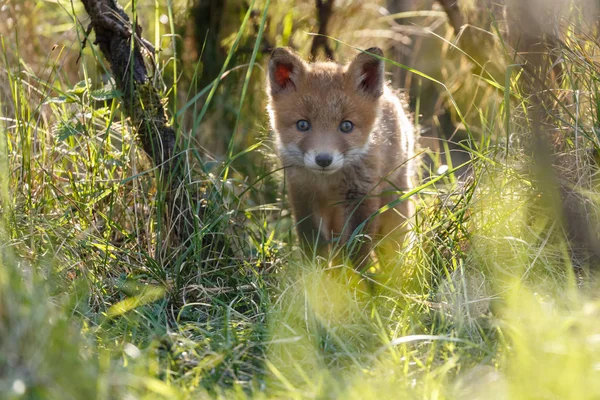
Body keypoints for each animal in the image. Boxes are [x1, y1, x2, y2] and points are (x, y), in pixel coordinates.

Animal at [268, 47, 418, 268]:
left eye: (346, 126)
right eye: (302, 125)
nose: (323, 159)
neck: (327, 184)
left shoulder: (361, 198)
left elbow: (358, 249)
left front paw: (357, 277)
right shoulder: (303, 197)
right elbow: (313, 246)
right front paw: (315, 276)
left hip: (393, 205)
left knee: (391, 246)